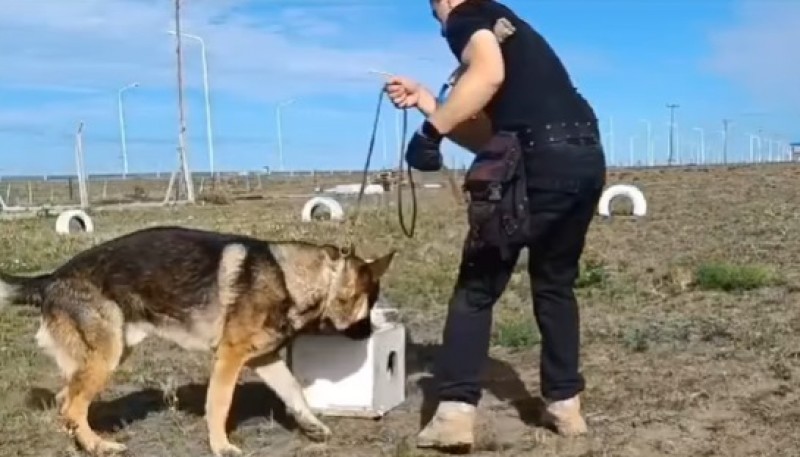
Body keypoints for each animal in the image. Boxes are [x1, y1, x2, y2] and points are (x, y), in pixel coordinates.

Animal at [0, 225, 396, 456]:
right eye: (370, 301)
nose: (368, 334)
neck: (291, 278)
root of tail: (51, 278)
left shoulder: (262, 360)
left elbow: (294, 391)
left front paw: (312, 425)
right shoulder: (230, 357)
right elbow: (219, 404)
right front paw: (221, 446)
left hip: (110, 354)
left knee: (66, 402)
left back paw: (82, 443)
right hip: (107, 357)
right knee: (71, 405)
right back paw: (100, 445)